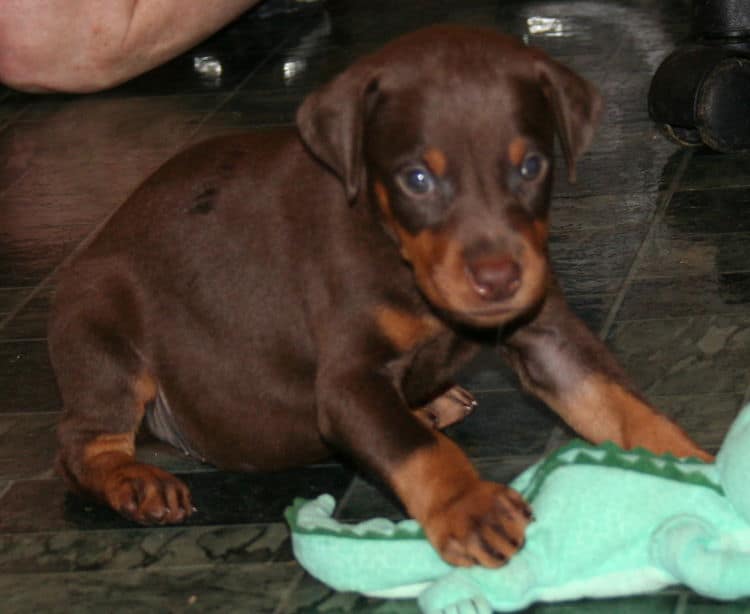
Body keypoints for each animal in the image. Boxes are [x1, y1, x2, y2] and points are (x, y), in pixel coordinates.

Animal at [48, 26, 712, 572]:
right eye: (417, 178)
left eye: (531, 166)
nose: (498, 278)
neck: (395, 248)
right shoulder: (349, 382)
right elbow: (415, 448)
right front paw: (470, 508)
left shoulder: (547, 335)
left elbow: (619, 402)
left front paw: (693, 464)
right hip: (101, 328)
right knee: (82, 447)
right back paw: (137, 481)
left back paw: (432, 399)